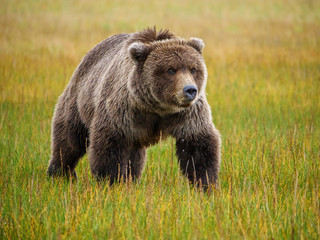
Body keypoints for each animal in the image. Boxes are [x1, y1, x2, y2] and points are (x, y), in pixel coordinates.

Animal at [47, 27, 221, 189]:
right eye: (171, 70)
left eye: (193, 68)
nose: (190, 90)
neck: (157, 108)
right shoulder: (123, 109)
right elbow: (110, 145)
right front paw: (110, 182)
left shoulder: (188, 114)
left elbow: (198, 144)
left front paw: (206, 184)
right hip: (79, 99)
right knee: (69, 140)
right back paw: (60, 173)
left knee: (135, 157)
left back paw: (131, 180)